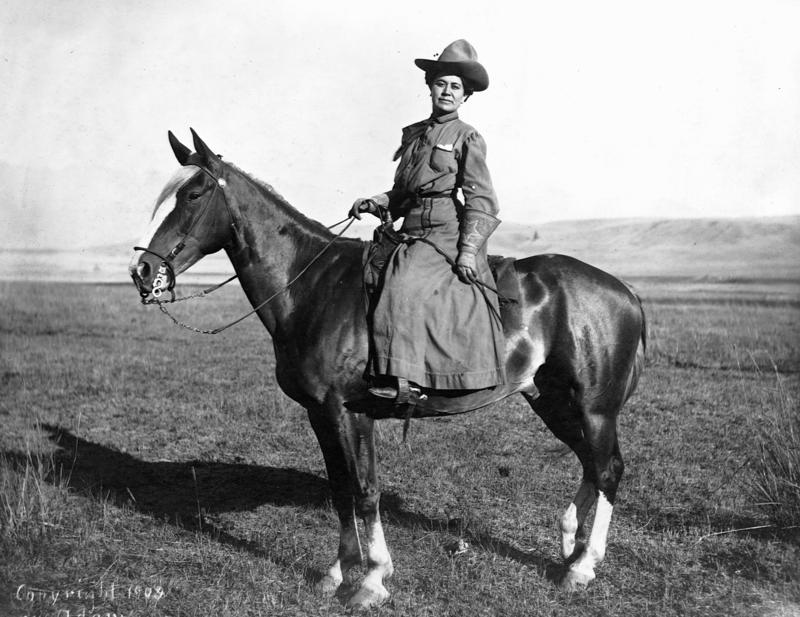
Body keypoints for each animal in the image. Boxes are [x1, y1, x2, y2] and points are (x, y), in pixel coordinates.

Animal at [129, 129, 646, 608]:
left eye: (194, 195)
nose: (143, 272)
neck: (312, 286)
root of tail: (625, 291)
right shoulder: (321, 414)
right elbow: (341, 489)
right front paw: (336, 573)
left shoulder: (349, 412)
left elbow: (365, 490)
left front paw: (372, 580)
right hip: (552, 401)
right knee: (591, 465)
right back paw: (571, 545)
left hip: (595, 408)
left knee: (608, 469)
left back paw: (582, 566)